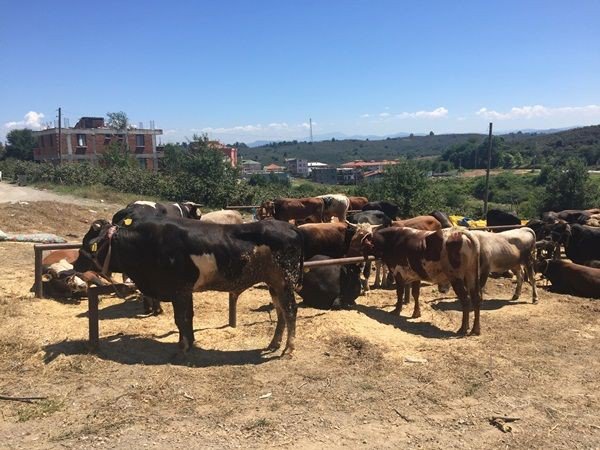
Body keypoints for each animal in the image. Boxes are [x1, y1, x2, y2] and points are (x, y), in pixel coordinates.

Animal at [82, 218, 302, 356]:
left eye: (88, 245)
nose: (77, 265)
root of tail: (290, 227)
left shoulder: (178, 290)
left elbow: (180, 319)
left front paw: (183, 347)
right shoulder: (185, 291)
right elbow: (188, 317)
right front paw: (190, 341)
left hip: (285, 281)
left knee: (290, 310)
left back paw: (288, 349)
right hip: (274, 284)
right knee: (281, 312)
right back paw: (274, 343)